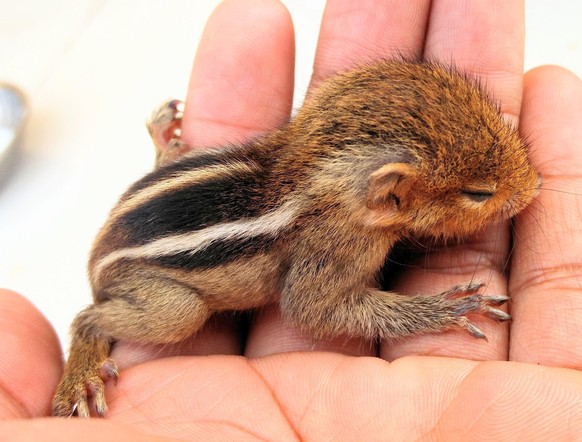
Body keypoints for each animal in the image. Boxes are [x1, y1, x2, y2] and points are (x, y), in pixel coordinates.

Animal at [52, 60, 540, 416]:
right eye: (479, 193)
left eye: (501, 121)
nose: (536, 186)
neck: (308, 168)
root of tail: (96, 257)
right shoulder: (330, 255)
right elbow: (311, 309)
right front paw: (447, 307)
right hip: (171, 308)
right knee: (89, 317)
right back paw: (80, 377)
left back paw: (164, 140)